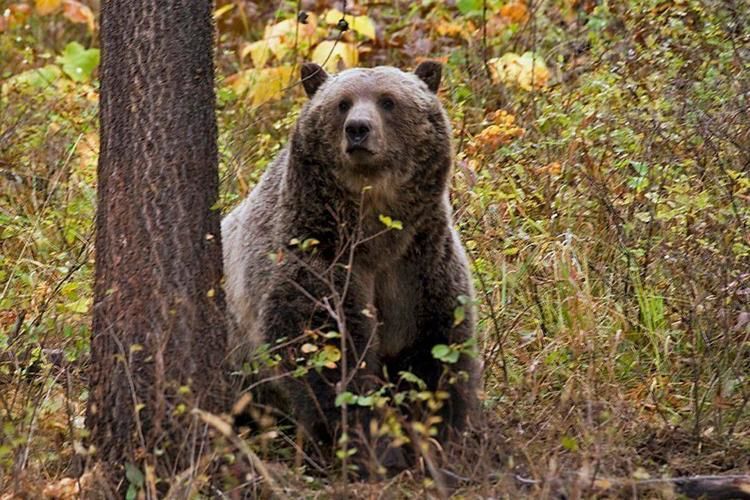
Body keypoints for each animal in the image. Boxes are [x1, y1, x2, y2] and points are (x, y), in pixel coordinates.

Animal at [223, 60, 478, 470]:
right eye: (342, 103)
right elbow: (326, 354)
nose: (358, 129)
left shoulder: (419, 264)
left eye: (388, 100)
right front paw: (373, 447)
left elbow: (436, 351)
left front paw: (437, 437)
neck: (375, 232)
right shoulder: (318, 255)